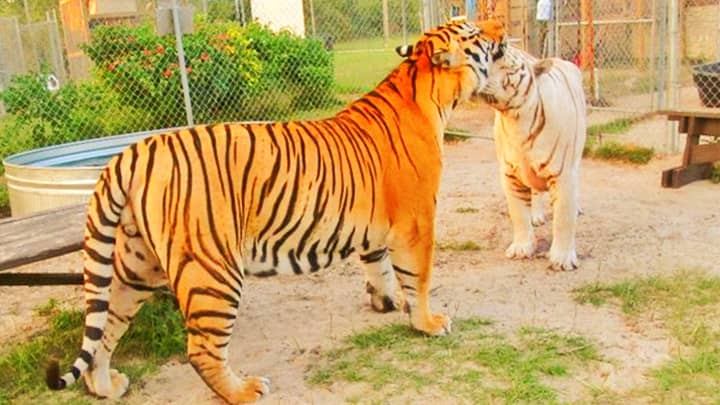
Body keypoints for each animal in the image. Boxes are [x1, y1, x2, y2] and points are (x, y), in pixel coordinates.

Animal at [46, 18, 506, 400]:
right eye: (474, 32)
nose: (501, 28)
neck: (424, 89)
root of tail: (133, 152)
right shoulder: (417, 222)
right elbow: (419, 278)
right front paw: (428, 323)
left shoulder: (377, 229)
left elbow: (380, 270)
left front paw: (386, 303)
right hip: (212, 268)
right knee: (201, 347)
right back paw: (244, 390)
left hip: (135, 267)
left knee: (104, 328)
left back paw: (105, 386)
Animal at [478, 45, 584, 270]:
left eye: (500, 57)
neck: (515, 119)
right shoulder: (510, 173)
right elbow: (518, 214)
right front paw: (522, 248)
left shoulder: (563, 174)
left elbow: (563, 216)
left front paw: (562, 260)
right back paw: (536, 216)